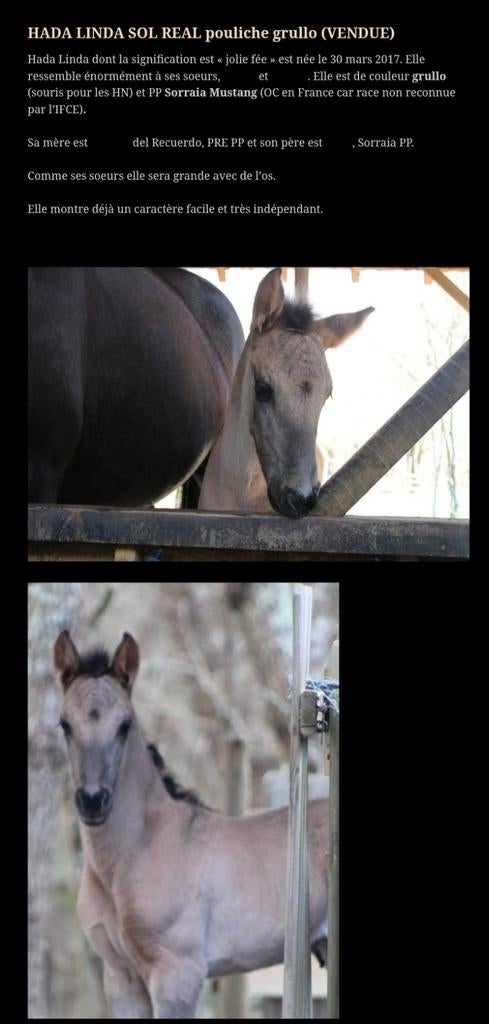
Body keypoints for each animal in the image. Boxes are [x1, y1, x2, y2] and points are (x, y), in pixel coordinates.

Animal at [54, 631, 328, 1019]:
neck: (138, 852)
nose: (93, 801)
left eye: (124, 725)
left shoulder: (177, 975)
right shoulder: (121, 979)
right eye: (65, 724)